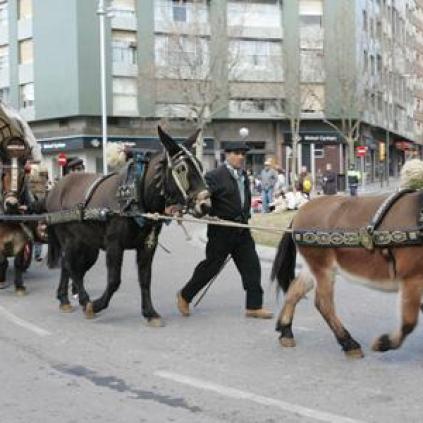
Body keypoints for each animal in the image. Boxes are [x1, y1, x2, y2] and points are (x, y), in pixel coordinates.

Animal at [46, 127, 212, 326]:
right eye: (181, 169)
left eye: (201, 167)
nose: (205, 205)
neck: (134, 197)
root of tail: (57, 187)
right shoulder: (114, 245)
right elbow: (114, 281)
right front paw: (95, 306)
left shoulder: (148, 246)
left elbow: (145, 278)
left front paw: (150, 313)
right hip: (69, 239)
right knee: (70, 265)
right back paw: (85, 300)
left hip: (87, 245)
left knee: (68, 265)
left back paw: (64, 299)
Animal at [272, 185, 423, 358]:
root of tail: (300, 211)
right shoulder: (413, 279)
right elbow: (409, 322)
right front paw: (383, 343)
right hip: (323, 268)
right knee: (324, 304)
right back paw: (348, 343)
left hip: (313, 267)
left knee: (294, 291)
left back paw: (286, 331)